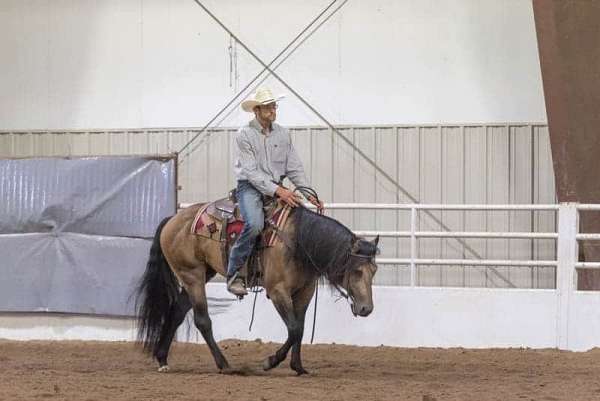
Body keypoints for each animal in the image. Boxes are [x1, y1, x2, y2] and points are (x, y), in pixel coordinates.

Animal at [136, 198, 380, 376]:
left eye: (374, 270)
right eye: (357, 271)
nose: (366, 309)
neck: (298, 242)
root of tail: (173, 219)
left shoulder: (304, 293)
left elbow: (299, 329)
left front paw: (298, 367)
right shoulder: (278, 291)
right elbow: (294, 329)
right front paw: (270, 362)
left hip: (202, 274)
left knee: (177, 310)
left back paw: (162, 359)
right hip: (192, 275)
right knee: (202, 320)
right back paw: (224, 364)